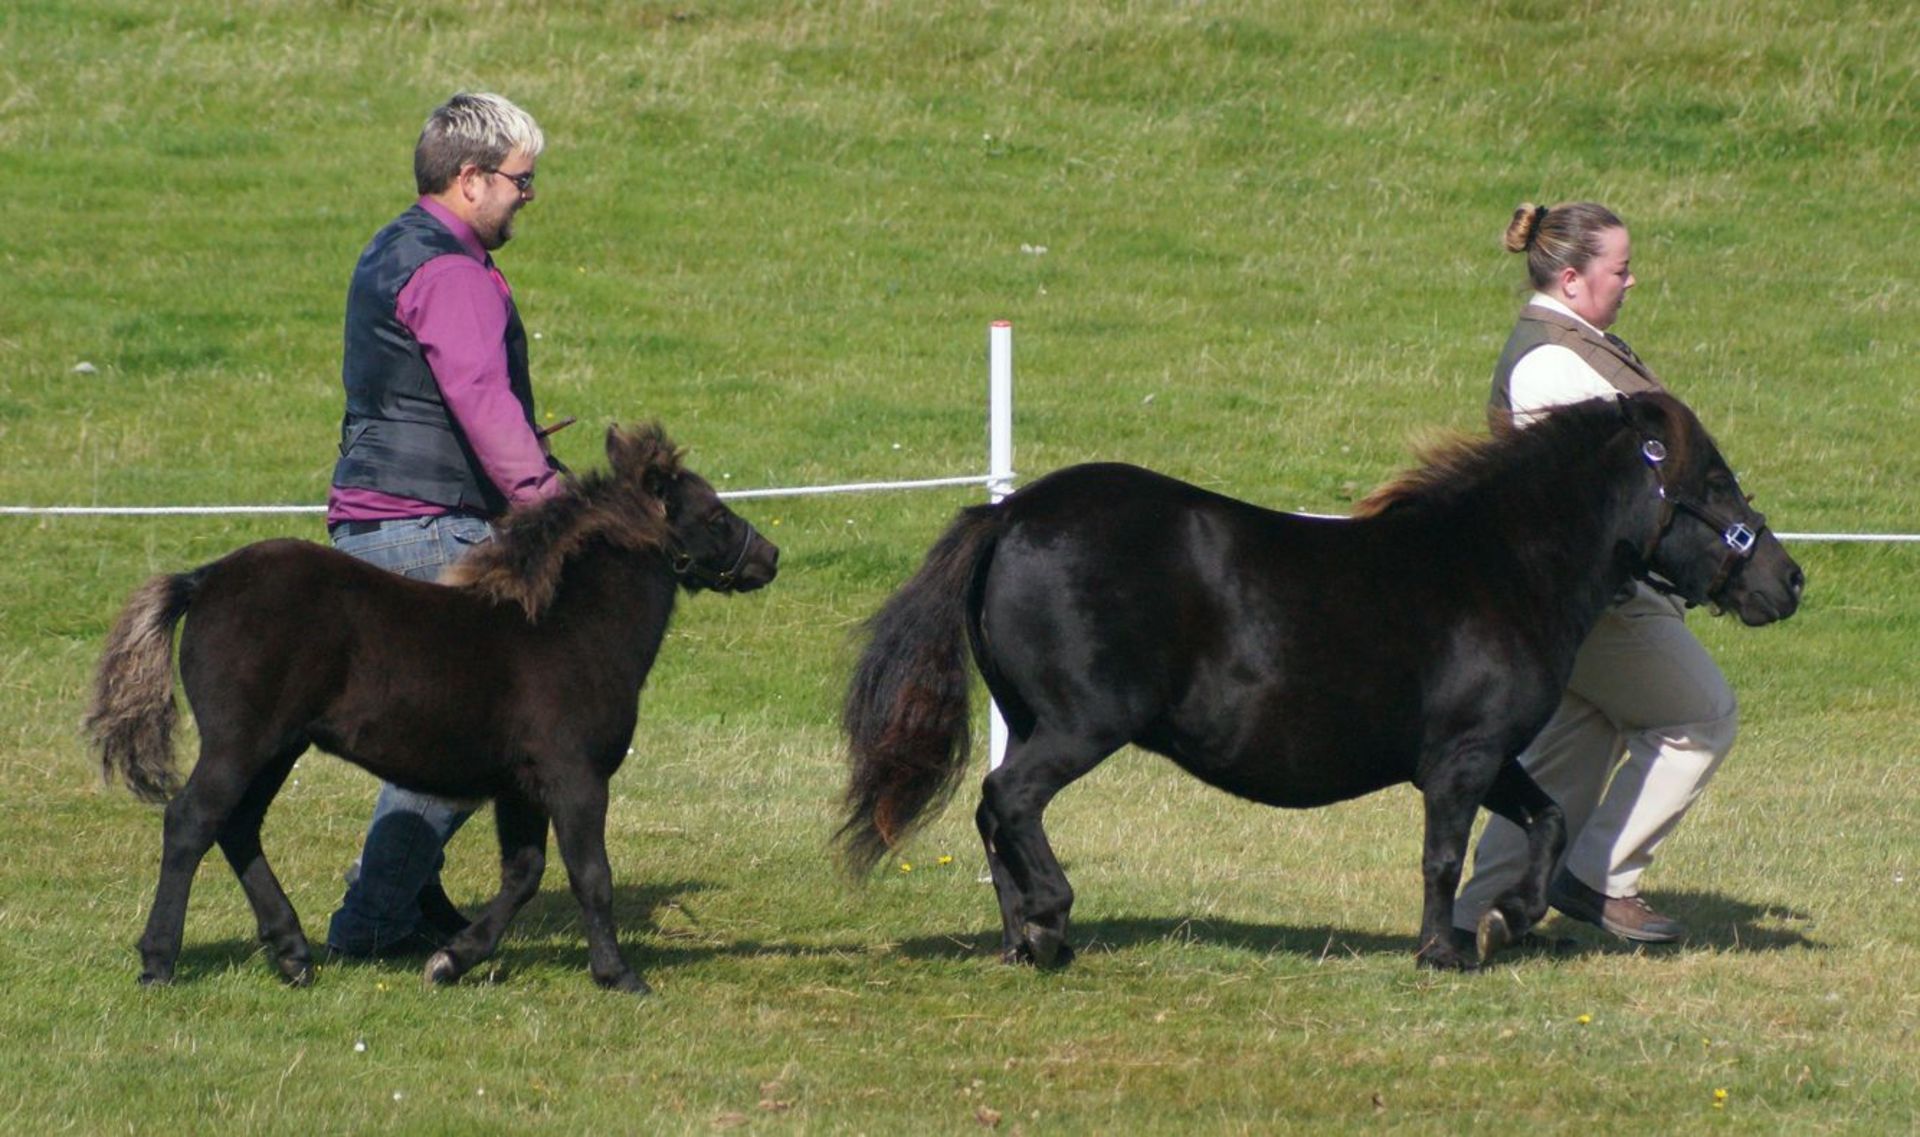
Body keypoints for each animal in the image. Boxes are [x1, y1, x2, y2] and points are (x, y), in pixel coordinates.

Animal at [88, 424, 779, 998]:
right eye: (715, 515)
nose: (769, 557)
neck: (573, 627)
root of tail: (203, 580)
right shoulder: (575, 777)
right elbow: (591, 874)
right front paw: (618, 975)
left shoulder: (520, 786)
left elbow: (524, 873)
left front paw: (451, 959)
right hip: (240, 739)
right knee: (191, 821)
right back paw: (159, 962)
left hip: (279, 746)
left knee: (238, 827)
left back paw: (292, 953)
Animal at [840, 395, 1797, 971]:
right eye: (1714, 481)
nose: (1788, 581)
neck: (1501, 565)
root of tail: (1010, 513)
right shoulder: (1462, 758)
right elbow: (1444, 853)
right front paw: (1443, 951)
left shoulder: (1489, 756)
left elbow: (1551, 818)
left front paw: (1506, 920)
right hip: (1082, 723)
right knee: (1008, 798)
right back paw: (1049, 914)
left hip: (1034, 716)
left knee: (995, 812)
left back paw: (1026, 940)